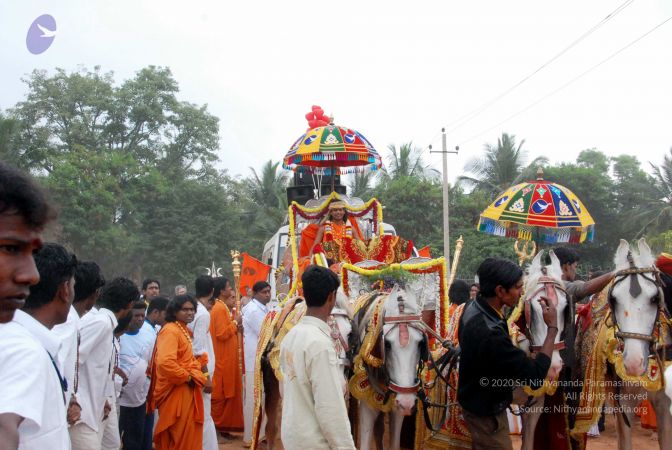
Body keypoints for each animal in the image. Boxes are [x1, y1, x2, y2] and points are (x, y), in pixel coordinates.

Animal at [354, 284, 422, 450]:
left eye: (420, 343)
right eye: (388, 344)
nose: (406, 402)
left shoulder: (397, 409)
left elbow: (394, 443)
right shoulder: (367, 406)